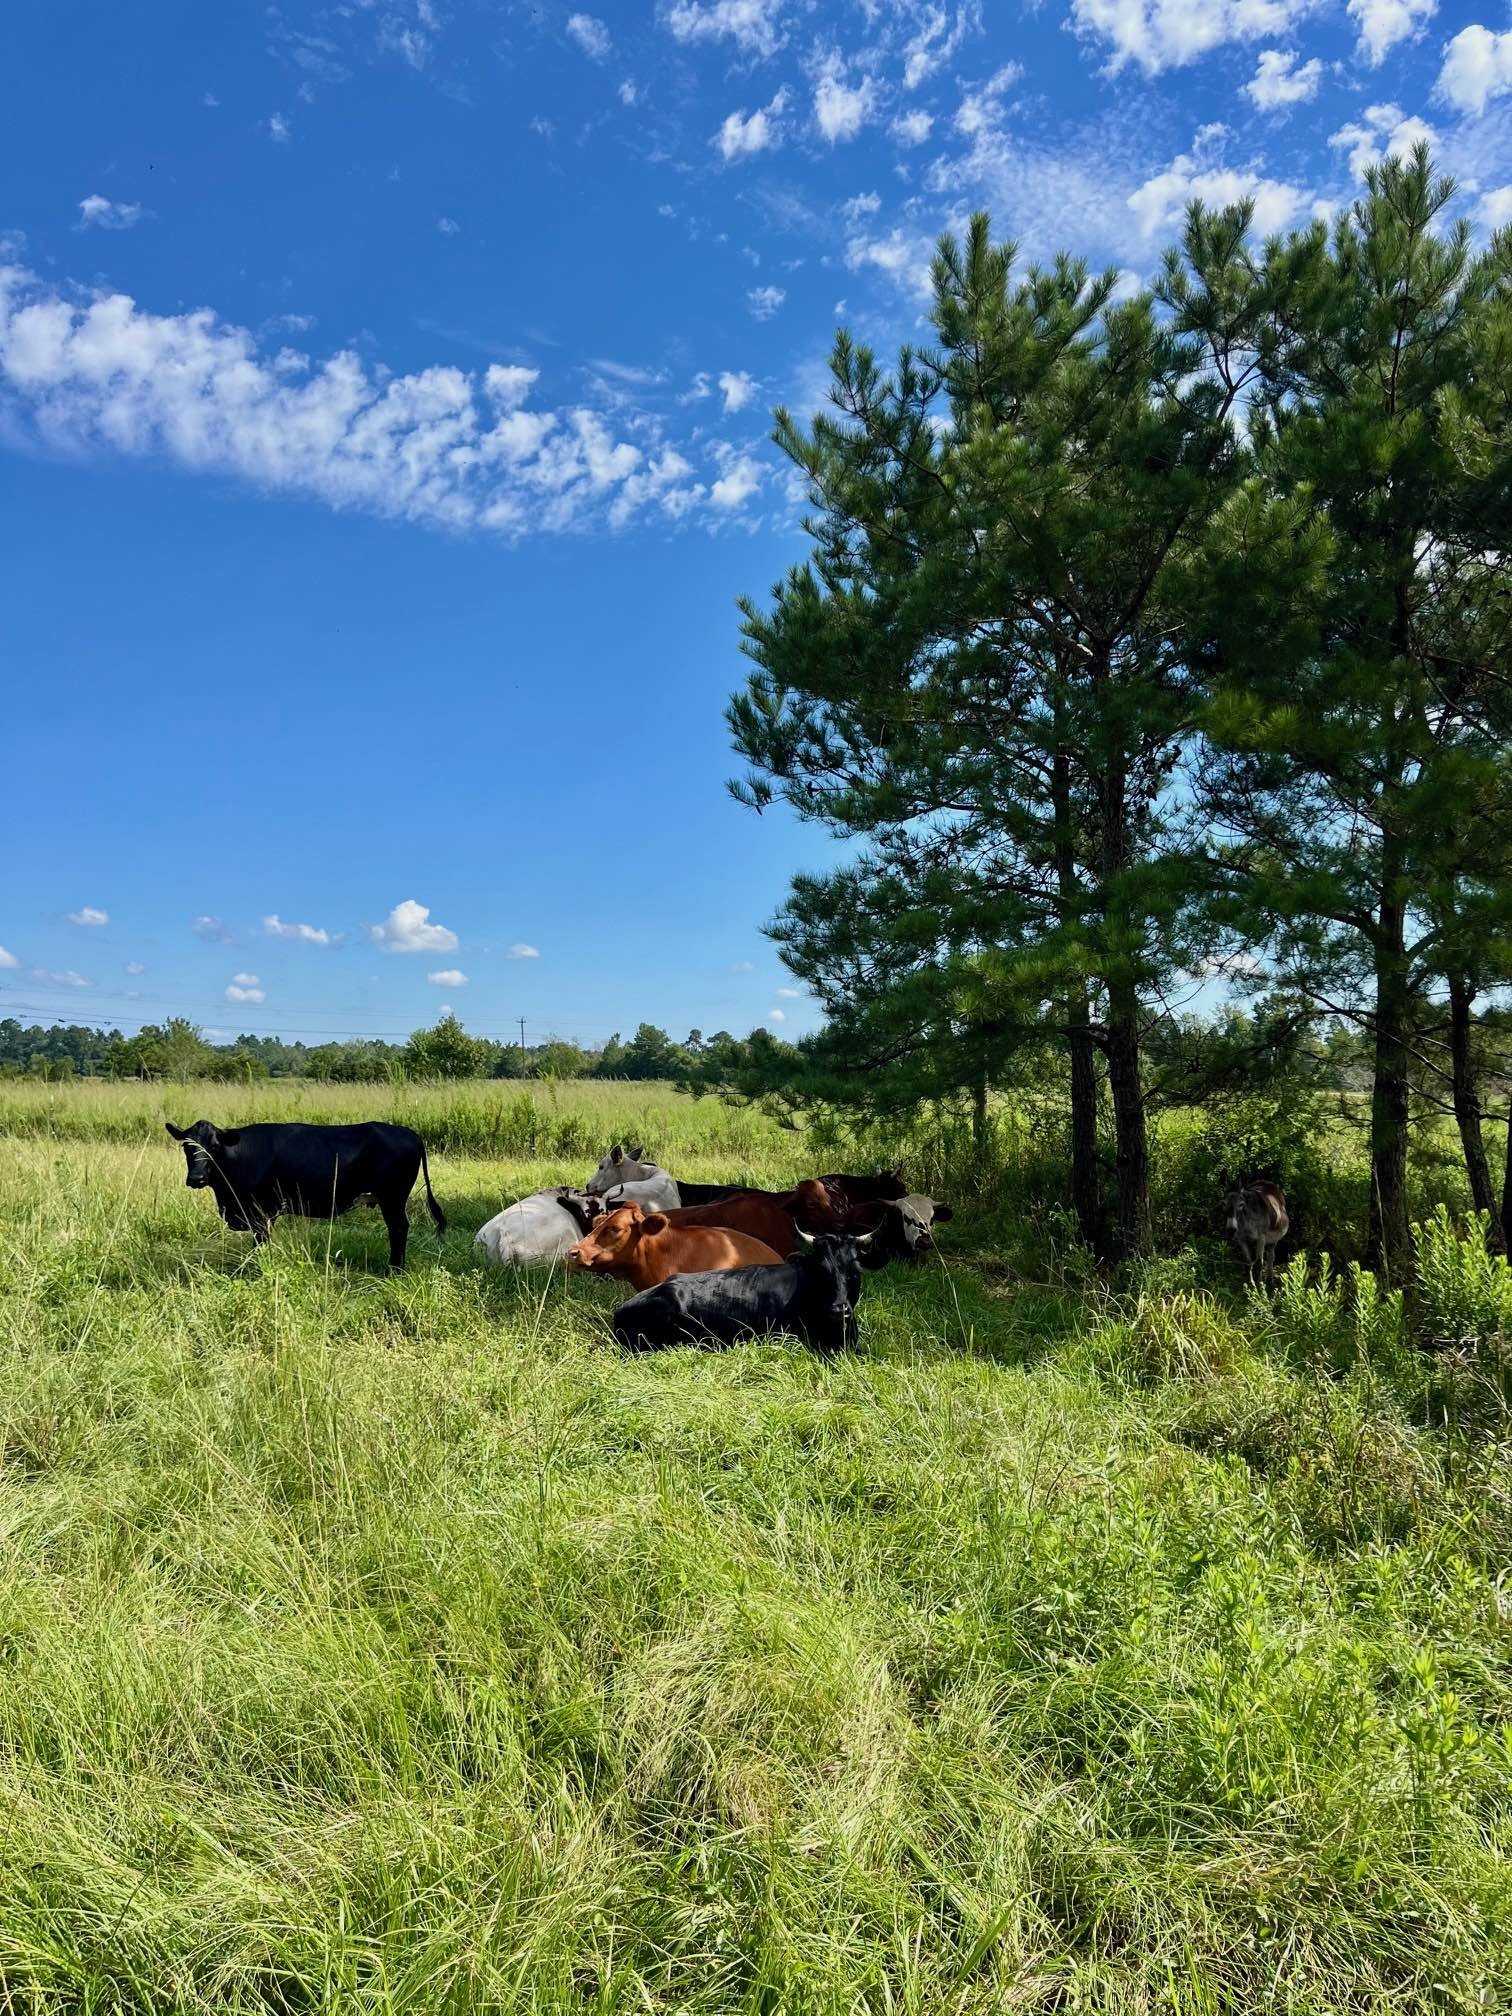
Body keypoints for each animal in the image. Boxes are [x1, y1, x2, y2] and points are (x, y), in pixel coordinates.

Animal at [165, 1118, 445, 1270]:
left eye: (214, 1147)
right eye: (187, 1147)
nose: (197, 1179)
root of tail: (409, 1132)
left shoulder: (262, 1211)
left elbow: (259, 1243)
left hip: (393, 1199)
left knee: (398, 1228)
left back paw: (394, 1269)